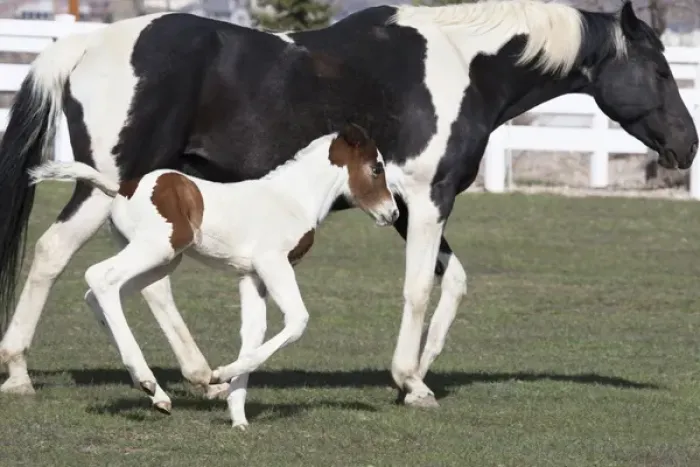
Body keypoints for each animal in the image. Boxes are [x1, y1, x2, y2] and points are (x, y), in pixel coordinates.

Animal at [27, 123, 398, 428]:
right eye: (376, 168)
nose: (392, 213)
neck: (292, 198)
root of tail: (122, 188)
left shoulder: (252, 277)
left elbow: (253, 334)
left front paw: (238, 417)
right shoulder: (273, 264)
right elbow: (297, 321)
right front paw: (221, 375)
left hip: (161, 261)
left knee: (99, 293)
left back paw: (155, 393)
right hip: (156, 249)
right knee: (100, 278)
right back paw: (148, 380)